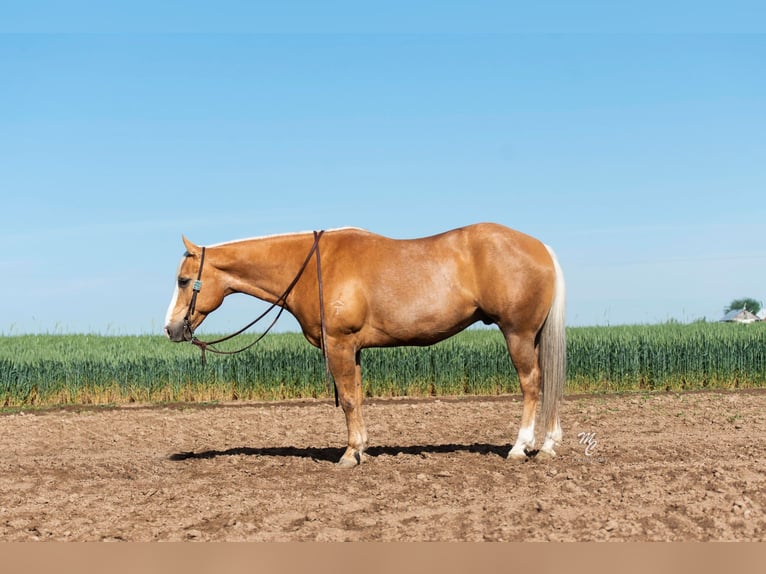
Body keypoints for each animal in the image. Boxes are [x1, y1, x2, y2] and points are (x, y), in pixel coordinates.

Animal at [165, 223, 568, 470]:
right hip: (532, 336)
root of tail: (541, 248)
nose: (171, 328)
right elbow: (357, 397)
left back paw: (519, 447)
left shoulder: (339, 345)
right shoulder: (354, 349)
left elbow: (346, 399)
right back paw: (548, 445)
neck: (313, 267)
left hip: (517, 333)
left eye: (184, 280)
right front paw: (360, 449)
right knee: (549, 382)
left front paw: (348, 454)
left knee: (532, 384)